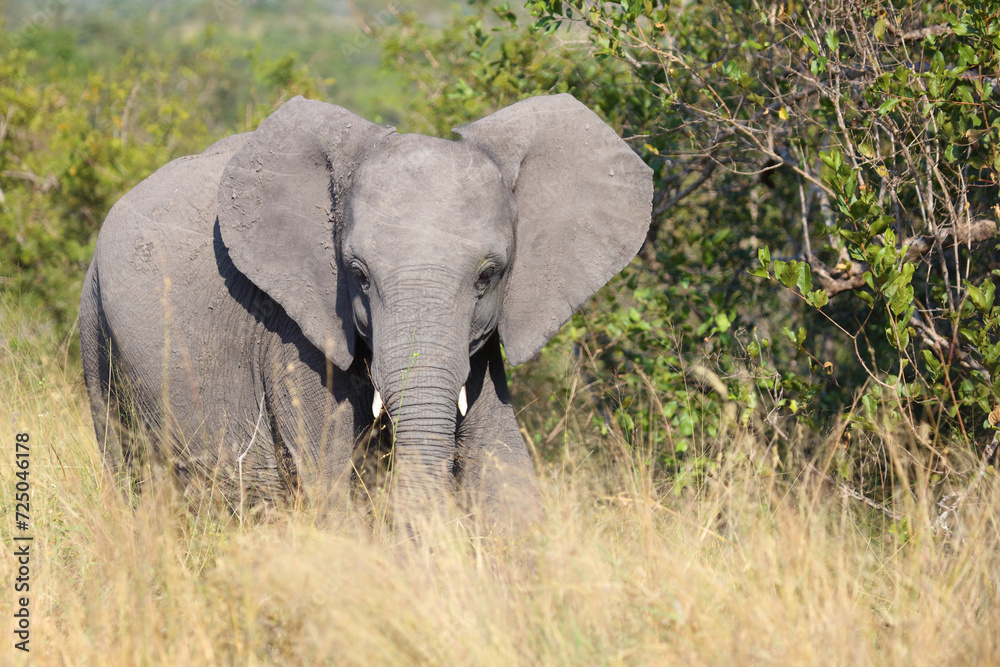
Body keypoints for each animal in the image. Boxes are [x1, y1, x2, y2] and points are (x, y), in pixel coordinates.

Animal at [78, 93, 652, 527]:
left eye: (488, 275)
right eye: (357, 275)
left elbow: (505, 468)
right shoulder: (293, 333)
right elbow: (331, 483)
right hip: (95, 326)